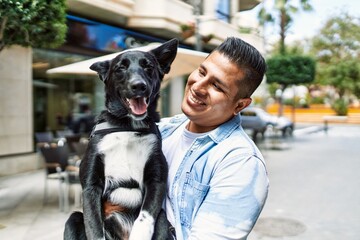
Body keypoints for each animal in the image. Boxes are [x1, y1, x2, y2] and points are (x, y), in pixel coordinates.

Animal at [64, 38, 179, 239]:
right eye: (120, 68)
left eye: (148, 67)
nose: (138, 85)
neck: (127, 126)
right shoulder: (90, 185)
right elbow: (94, 226)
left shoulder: (156, 180)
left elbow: (144, 219)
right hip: (73, 219)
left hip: (163, 221)